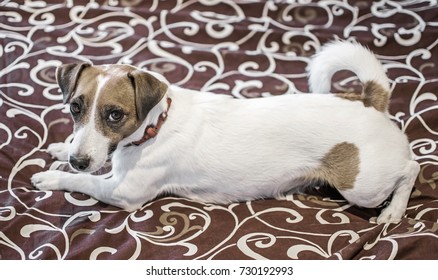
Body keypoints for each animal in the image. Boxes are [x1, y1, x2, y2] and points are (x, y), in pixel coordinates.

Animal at [31, 40, 420, 223]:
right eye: (75, 108)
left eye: (115, 115)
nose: (78, 160)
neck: (156, 125)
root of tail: (369, 100)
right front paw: (60, 150)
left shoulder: (124, 193)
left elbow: (84, 182)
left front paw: (51, 176)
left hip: (361, 186)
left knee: (411, 168)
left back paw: (393, 211)